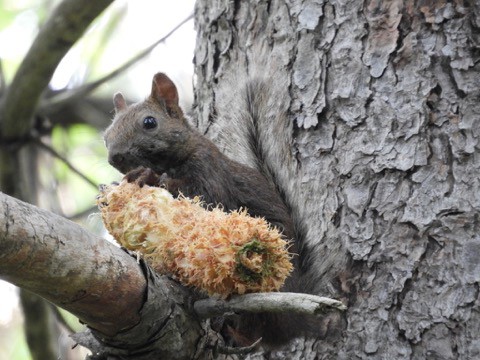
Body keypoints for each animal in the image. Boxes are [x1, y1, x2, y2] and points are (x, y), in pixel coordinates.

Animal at [102, 71, 332, 348]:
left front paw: (150, 177)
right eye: (106, 135)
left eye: (149, 122)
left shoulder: (210, 171)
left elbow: (206, 198)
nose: (115, 157)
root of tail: (295, 326)